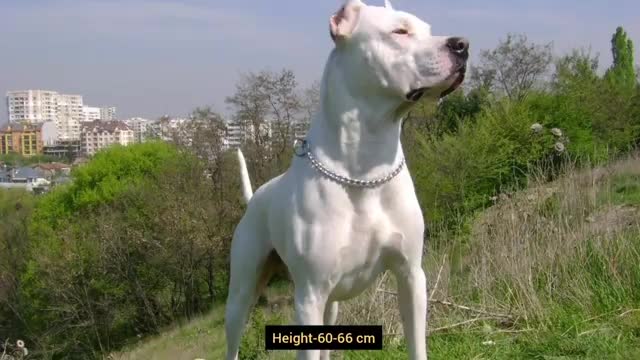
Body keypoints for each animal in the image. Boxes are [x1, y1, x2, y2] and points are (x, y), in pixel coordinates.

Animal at [224, 1, 464, 358]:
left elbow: (417, 343)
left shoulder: (411, 276)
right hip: (242, 295)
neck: (365, 169)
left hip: (331, 304)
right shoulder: (309, 297)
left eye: (428, 29)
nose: (462, 45)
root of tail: (255, 199)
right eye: (400, 31)